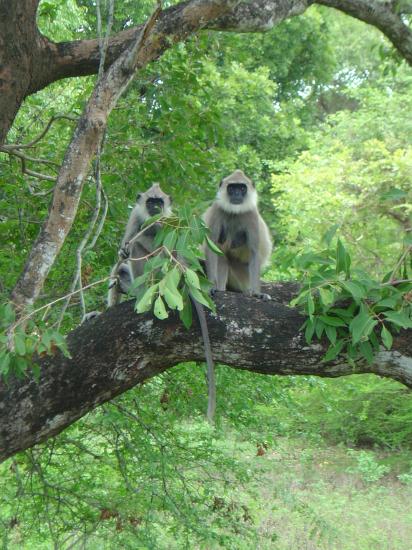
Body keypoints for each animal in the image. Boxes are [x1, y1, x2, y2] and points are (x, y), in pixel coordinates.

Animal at [202, 170, 272, 300]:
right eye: (232, 188)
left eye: (242, 188)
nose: (236, 194)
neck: (235, 212)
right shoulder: (217, 209)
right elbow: (211, 245)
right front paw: (210, 286)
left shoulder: (252, 215)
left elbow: (254, 252)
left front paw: (257, 293)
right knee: (222, 258)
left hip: (244, 274)